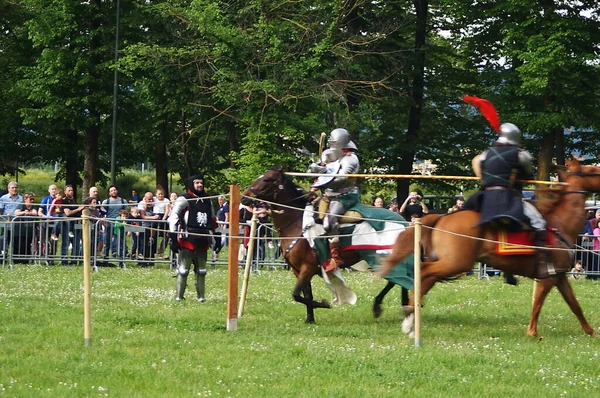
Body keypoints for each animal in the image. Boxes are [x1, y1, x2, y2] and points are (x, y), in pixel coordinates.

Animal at [241, 167, 410, 324]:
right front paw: (310, 319)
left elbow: (296, 294)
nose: (244, 198)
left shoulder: (307, 268)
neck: (296, 223)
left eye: (267, 179)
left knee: (396, 279)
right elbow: (305, 294)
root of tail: (403, 221)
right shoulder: (297, 270)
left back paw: (381, 306)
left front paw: (323, 304)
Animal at [382, 159, 600, 336]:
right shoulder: (549, 277)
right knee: (424, 273)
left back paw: (410, 319)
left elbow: (575, 305)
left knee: (425, 279)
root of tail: (442, 217)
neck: (560, 224)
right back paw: (410, 317)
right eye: (592, 170)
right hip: (456, 263)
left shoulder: (560, 276)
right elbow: (538, 304)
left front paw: (591, 332)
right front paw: (532, 333)